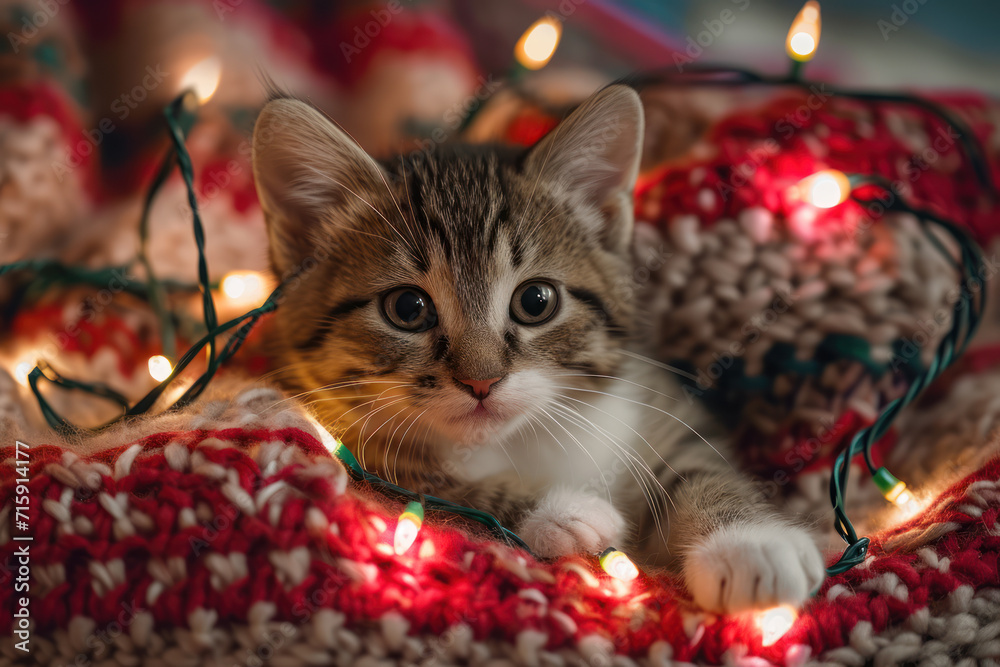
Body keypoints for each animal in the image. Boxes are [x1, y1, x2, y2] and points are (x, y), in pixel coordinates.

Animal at [252, 86, 828, 612]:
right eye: (408, 309)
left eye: (536, 301)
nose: (481, 380)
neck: (518, 440)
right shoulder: (344, 437)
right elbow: (425, 490)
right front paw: (563, 511)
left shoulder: (652, 404)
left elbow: (697, 463)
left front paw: (753, 544)